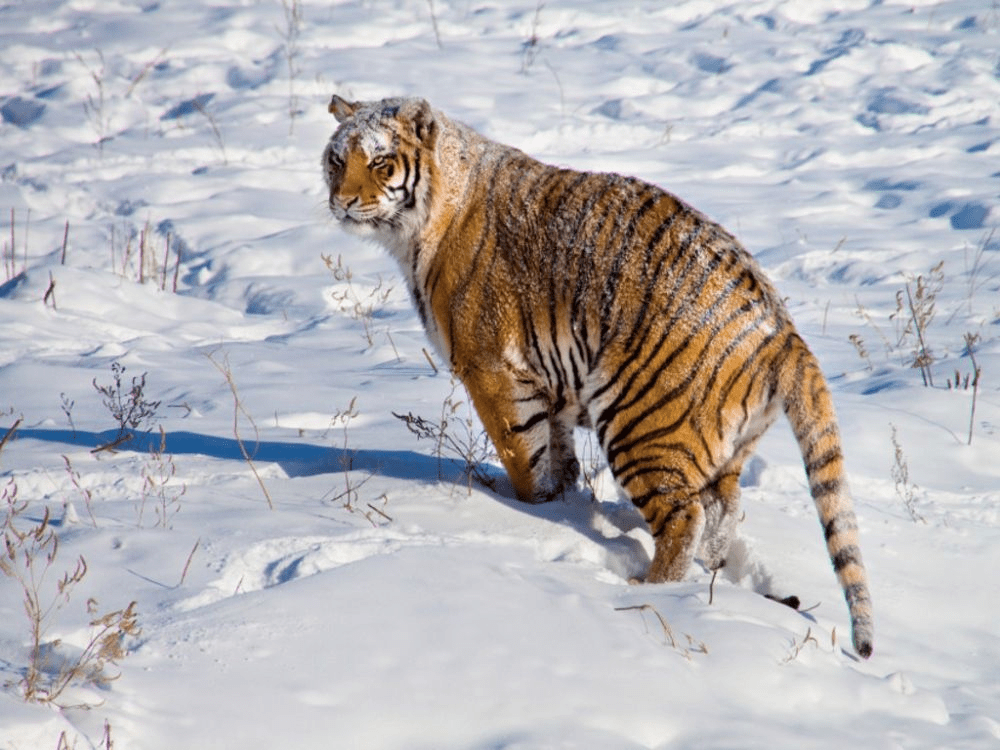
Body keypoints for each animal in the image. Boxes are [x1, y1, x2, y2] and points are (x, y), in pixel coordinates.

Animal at [322, 95, 876, 664]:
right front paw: (563, 499)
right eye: (337, 160)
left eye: (380, 162)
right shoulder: (548, 384)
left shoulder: (491, 369)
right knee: (722, 512)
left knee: (684, 516)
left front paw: (526, 507)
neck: (425, 221)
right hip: (724, 449)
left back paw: (651, 590)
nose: (342, 202)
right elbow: (557, 453)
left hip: (639, 422)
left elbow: (523, 458)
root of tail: (781, 328)